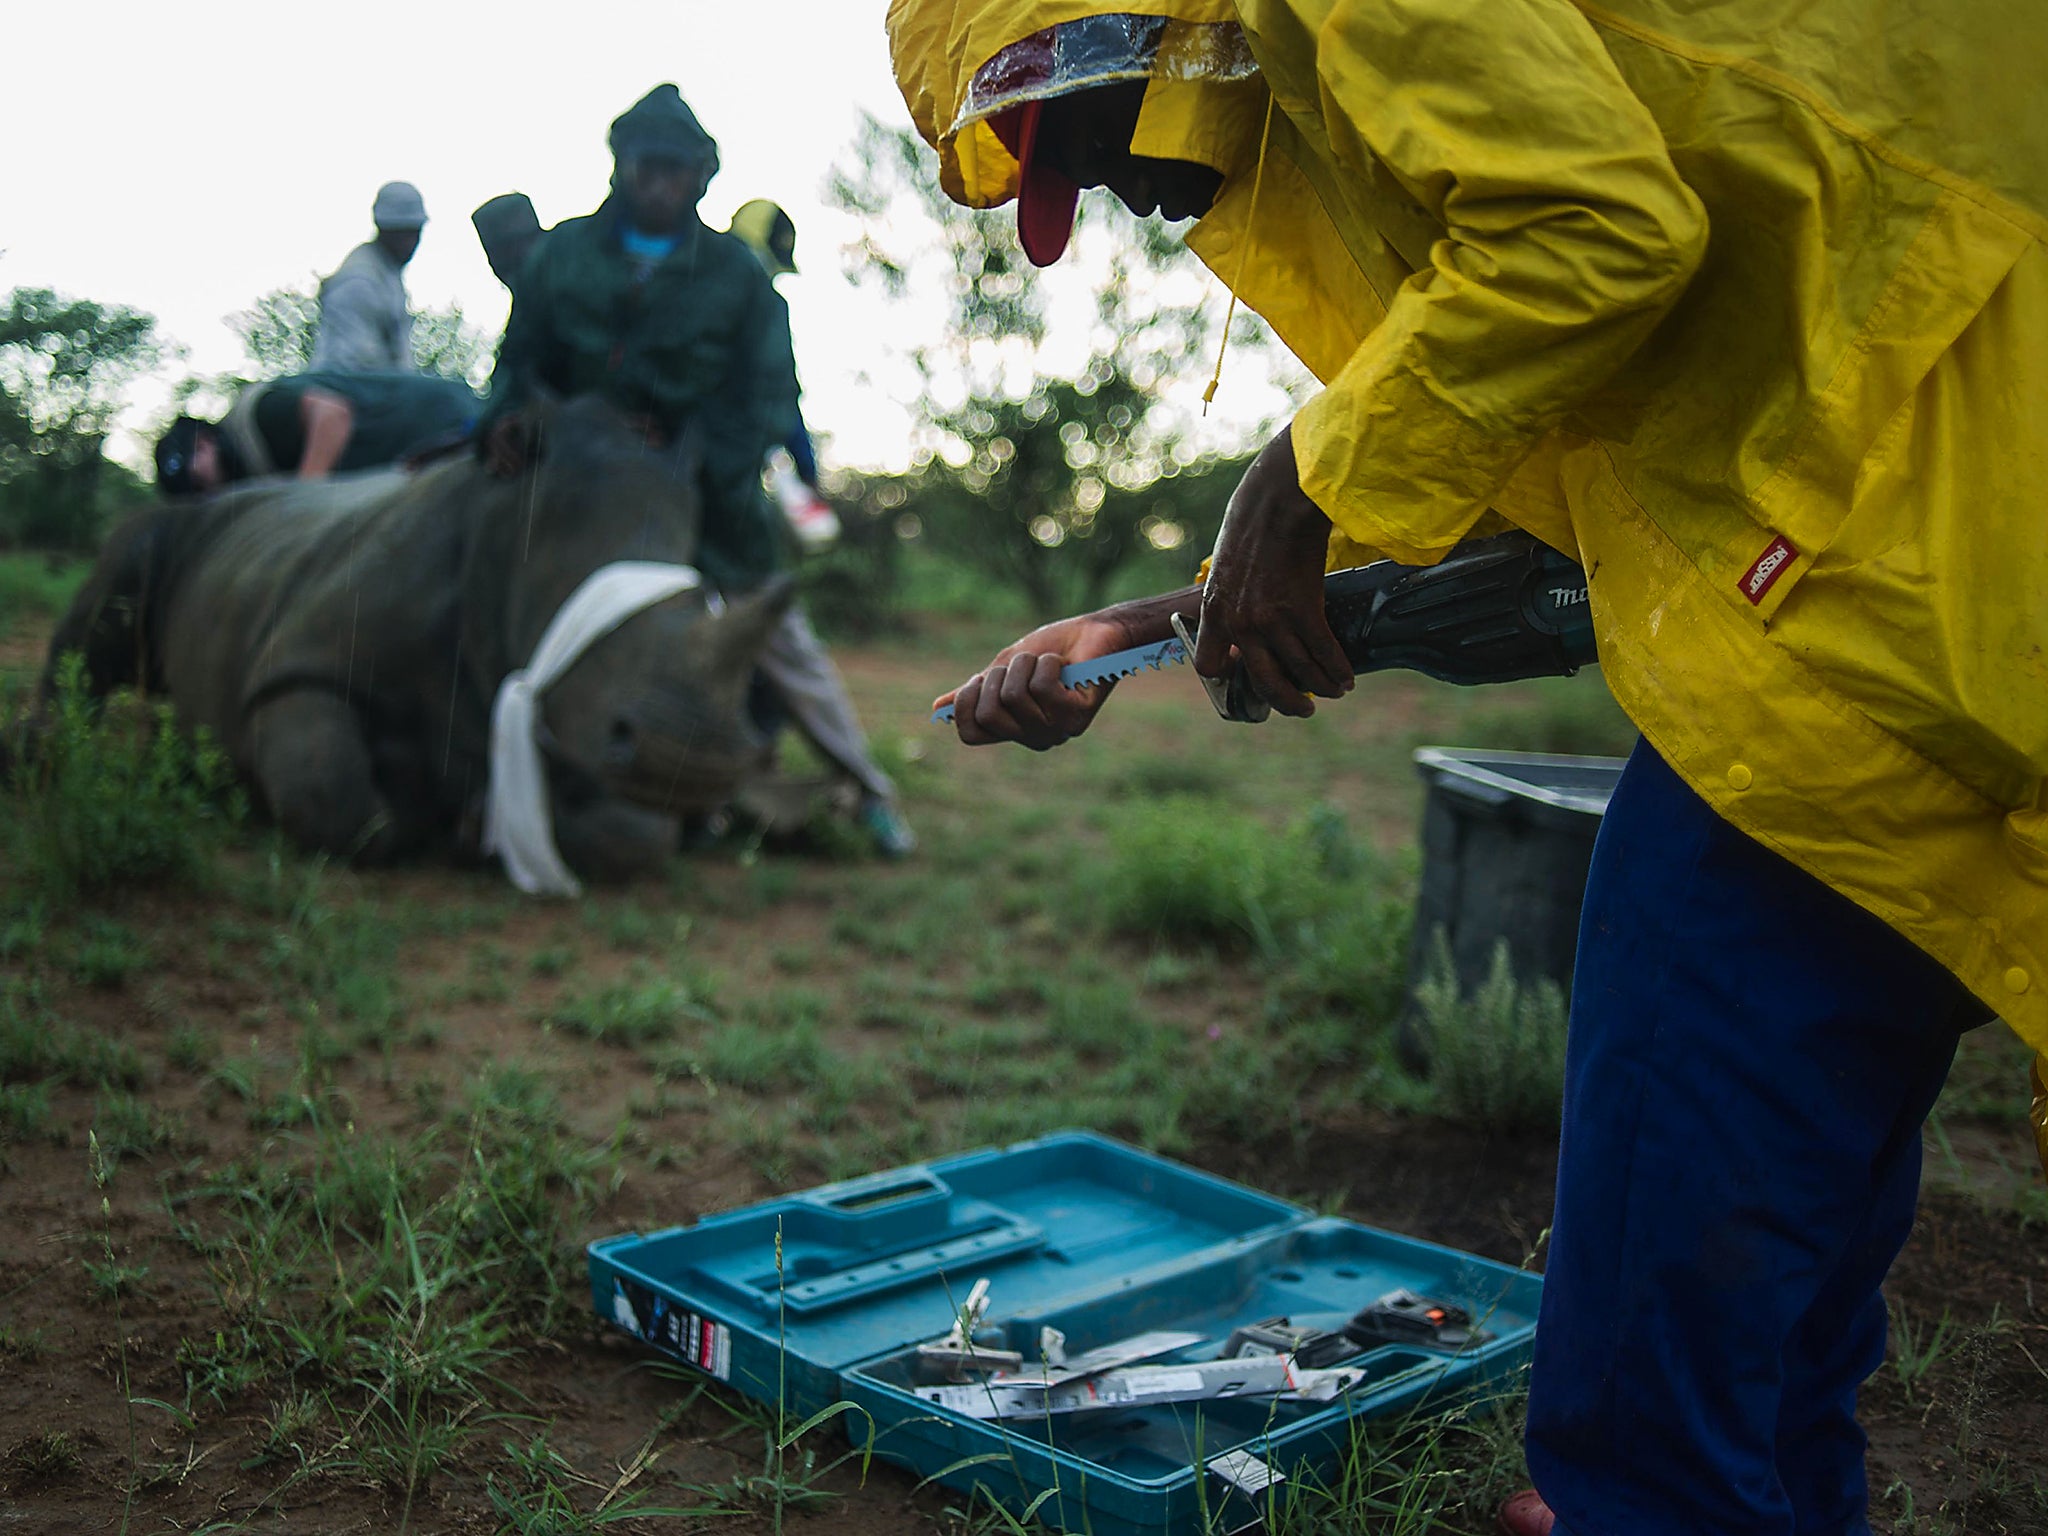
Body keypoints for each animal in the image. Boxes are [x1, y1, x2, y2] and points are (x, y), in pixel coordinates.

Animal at [41, 397, 790, 888]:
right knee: (104, 611)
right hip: (172, 526)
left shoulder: (575, 709)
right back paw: (41, 765)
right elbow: (331, 788)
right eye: (574, 608)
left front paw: (481, 823)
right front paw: (420, 822)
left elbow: (637, 836)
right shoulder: (303, 660)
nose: (696, 764)